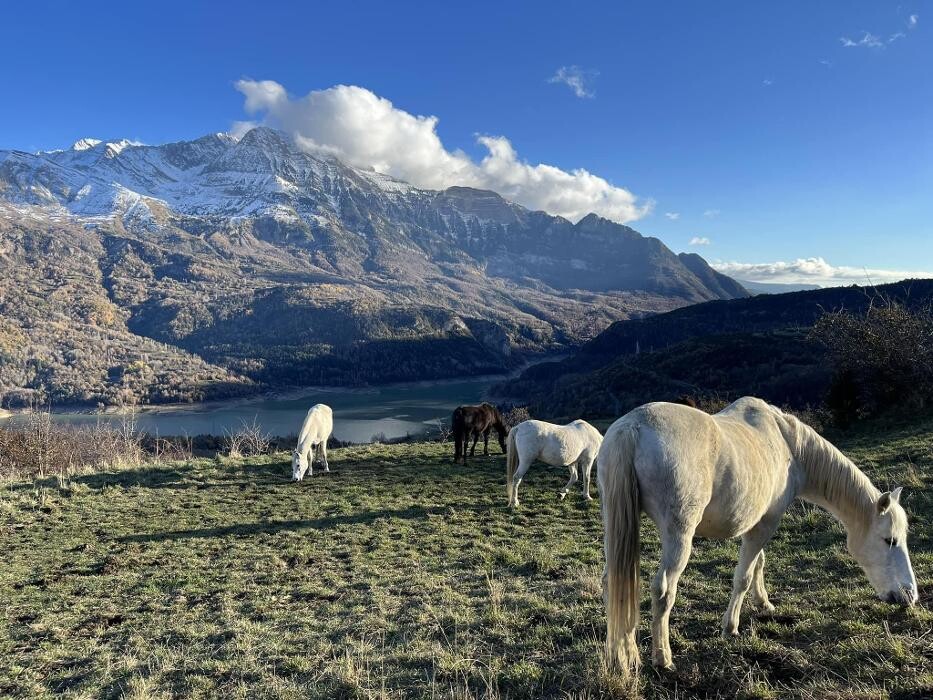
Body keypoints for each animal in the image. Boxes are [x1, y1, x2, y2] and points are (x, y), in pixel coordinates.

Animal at [596, 394, 916, 672]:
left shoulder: (757, 521)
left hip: (614, 524)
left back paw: (617, 654)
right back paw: (663, 658)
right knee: (663, 590)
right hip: (679, 536)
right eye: (889, 540)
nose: (909, 595)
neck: (789, 445)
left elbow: (758, 563)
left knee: (612, 581)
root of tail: (632, 427)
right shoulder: (768, 521)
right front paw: (731, 627)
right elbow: (743, 577)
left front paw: (764, 604)